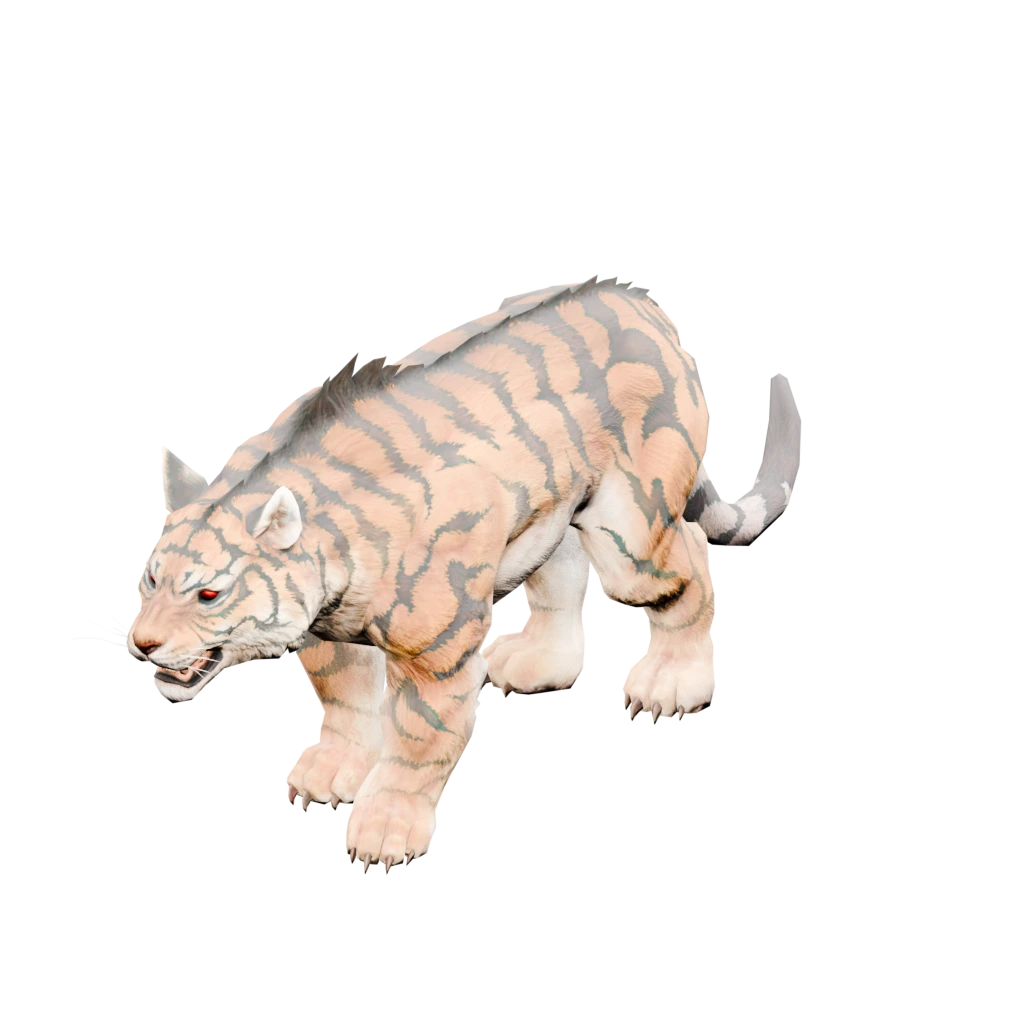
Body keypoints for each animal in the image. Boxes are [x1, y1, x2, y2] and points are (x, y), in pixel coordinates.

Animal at [128, 273, 802, 871]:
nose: (142, 643)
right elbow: (342, 697)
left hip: (631, 530)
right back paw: (537, 664)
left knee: (688, 561)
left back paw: (669, 685)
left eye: (209, 593)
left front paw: (384, 833)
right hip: (550, 507)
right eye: (151, 579)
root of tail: (640, 299)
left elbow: (418, 740)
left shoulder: (437, 652)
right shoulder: (327, 629)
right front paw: (328, 773)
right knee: (563, 567)